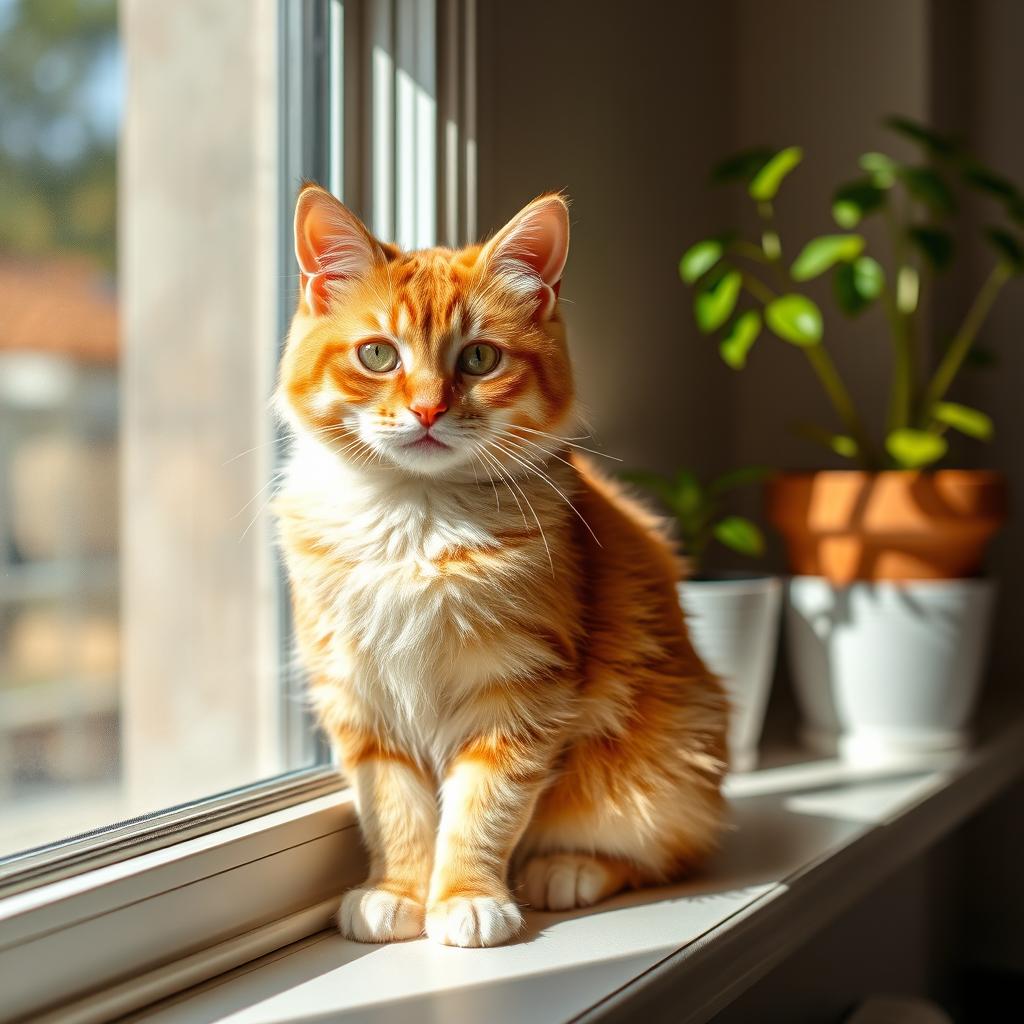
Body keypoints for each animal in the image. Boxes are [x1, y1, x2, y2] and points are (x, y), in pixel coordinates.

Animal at [274, 182, 729, 942]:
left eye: (480, 360)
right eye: (378, 355)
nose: (429, 410)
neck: (417, 521)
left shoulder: (520, 688)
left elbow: (485, 807)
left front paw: (466, 897)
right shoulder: (362, 695)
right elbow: (393, 808)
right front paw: (397, 890)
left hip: (660, 766)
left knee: (669, 852)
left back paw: (567, 869)